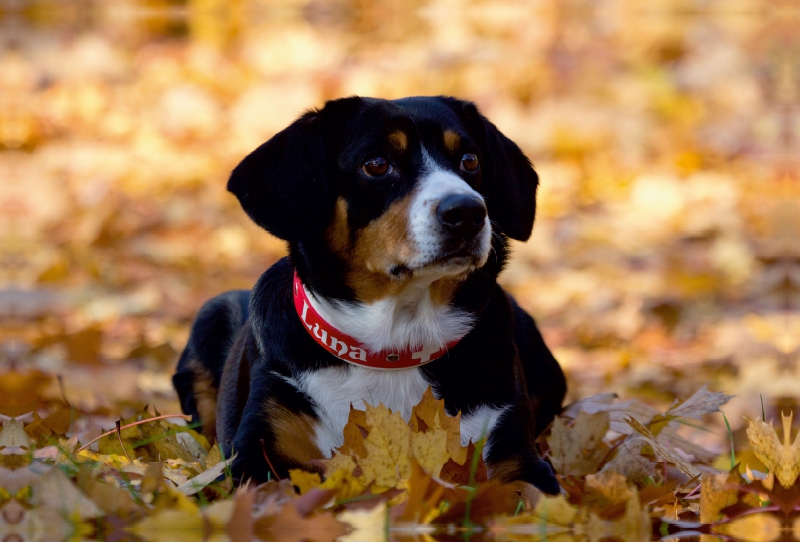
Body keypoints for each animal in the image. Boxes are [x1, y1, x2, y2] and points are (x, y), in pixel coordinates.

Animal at [172, 95, 564, 496]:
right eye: (376, 164)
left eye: (470, 160)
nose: (467, 211)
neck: (394, 346)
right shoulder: (258, 456)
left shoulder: (515, 457)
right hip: (210, 316)